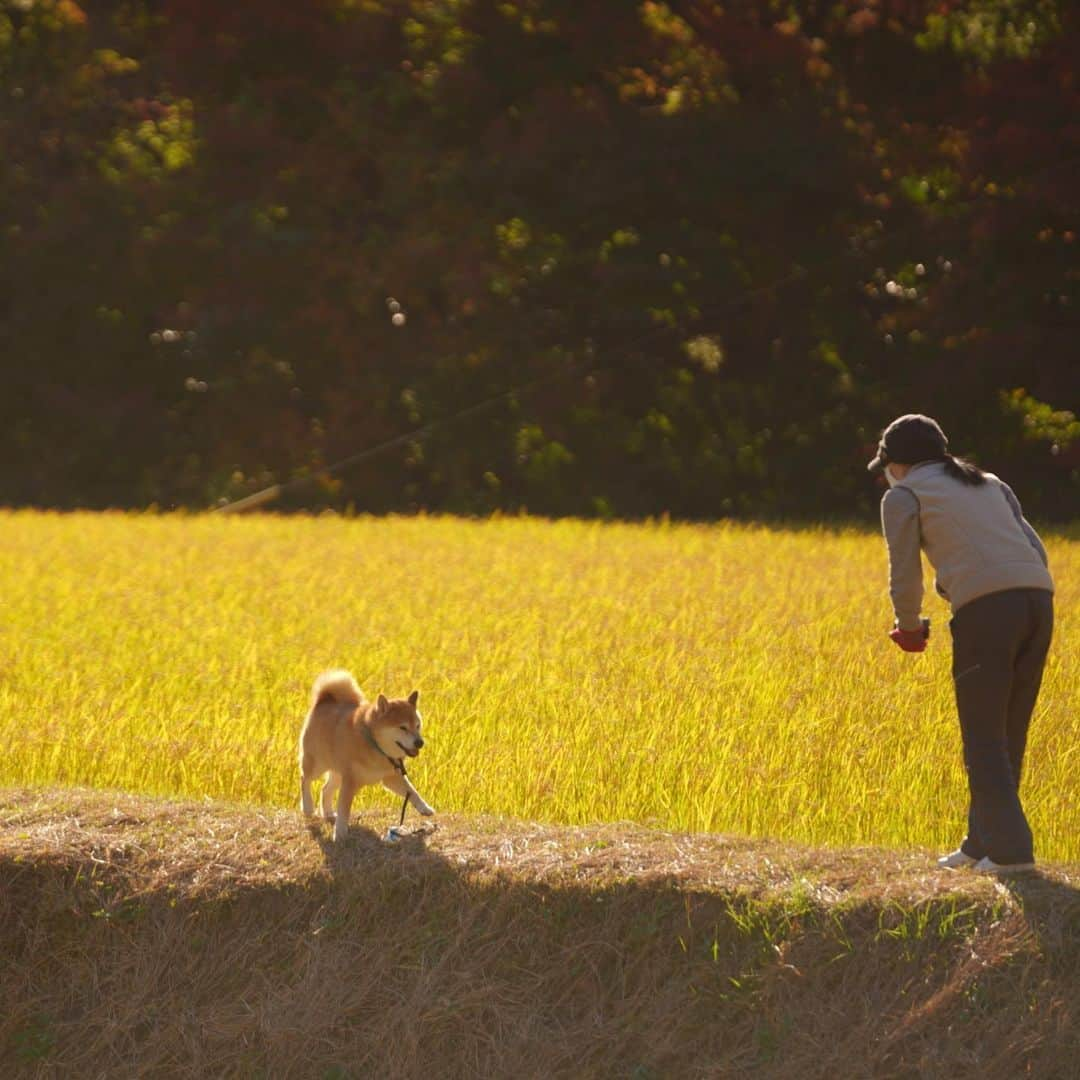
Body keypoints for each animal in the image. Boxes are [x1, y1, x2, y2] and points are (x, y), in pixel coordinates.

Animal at [298, 669, 432, 838]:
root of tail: (324, 700)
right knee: (305, 779)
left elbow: (412, 791)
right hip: (317, 764)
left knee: (325, 789)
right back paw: (308, 807)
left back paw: (328, 813)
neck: (375, 747)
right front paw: (340, 833)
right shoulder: (350, 781)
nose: (420, 742)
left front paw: (424, 808)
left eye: (418, 725)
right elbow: (344, 810)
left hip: (337, 772)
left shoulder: (391, 777)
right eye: (402, 727)